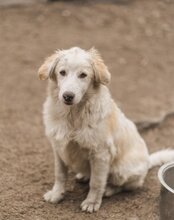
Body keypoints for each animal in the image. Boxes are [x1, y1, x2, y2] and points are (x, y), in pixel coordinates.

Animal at [38, 46, 174, 213]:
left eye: (83, 75)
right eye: (62, 72)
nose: (68, 96)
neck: (72, 115)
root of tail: (148, 160)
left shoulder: (100, 153)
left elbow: (96, 182)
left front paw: (91, 202)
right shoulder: (58, 148)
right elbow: (60, 174)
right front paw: (57, 194)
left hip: (121, 170)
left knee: (127, 185)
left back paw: (108, 189)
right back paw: (84, 175)